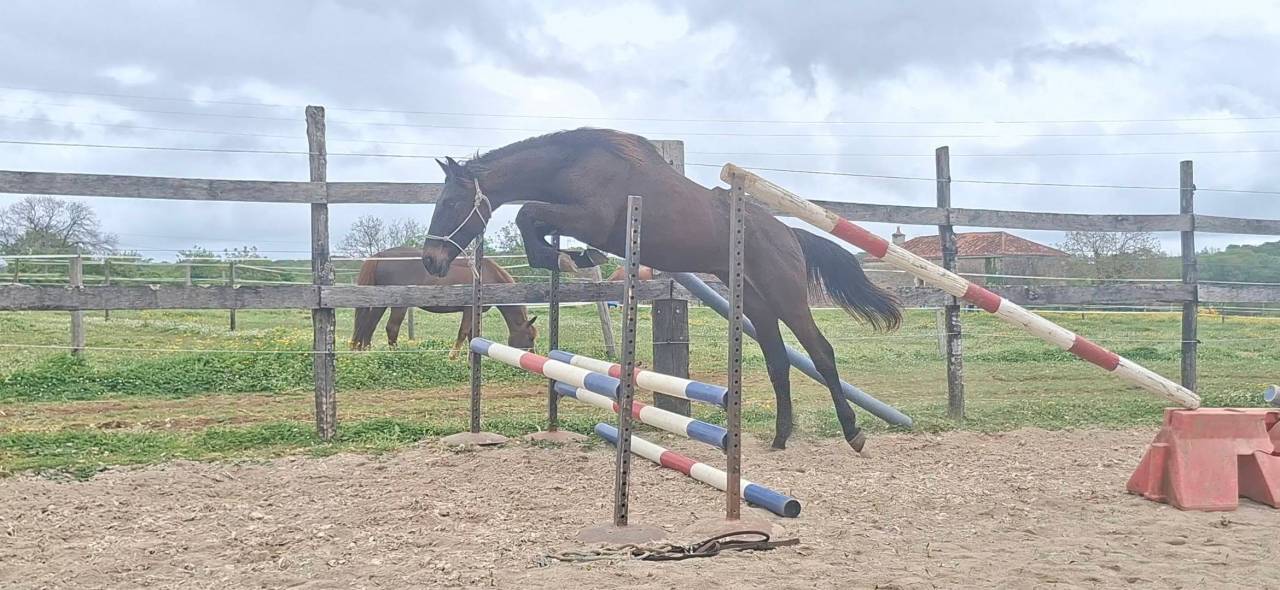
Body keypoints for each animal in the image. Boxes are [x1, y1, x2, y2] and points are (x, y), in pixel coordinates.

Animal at [350, 246, 538, 359]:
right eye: (530, 337)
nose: (533, 354)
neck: (487, 276)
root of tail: (379, 256)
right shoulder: (468, 310)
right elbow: (463, 333)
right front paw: (453, 357)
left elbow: (472, 335)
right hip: (399, 306)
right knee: (391, 328)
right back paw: (395, 354)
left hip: (379, 303)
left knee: (369, 326)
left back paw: (366, 353)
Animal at [419, 128, 901, 454]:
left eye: (450, 203)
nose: (430, 261)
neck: (572, 164)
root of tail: (789, 233)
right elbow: (533, 223)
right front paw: (573, 257)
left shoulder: (592, 217)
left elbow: (527, 214)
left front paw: (572, 257)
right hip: (755, 303)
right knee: (778, 360)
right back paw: (781, 437)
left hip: (786, 297)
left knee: (820, 352)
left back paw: (853, 432)